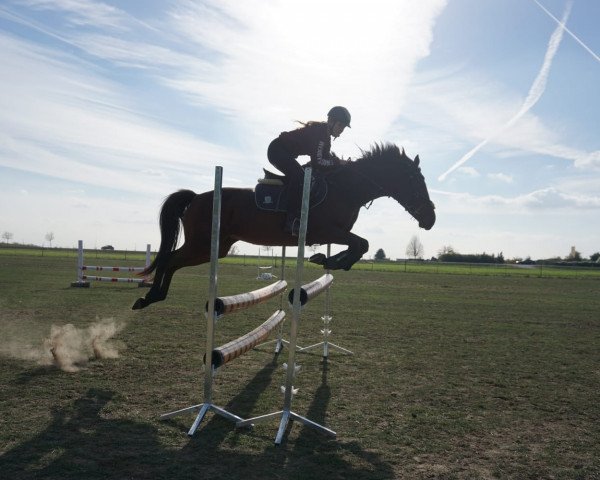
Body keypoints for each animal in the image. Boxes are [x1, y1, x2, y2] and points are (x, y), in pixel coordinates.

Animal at [131, 142, 434, 310]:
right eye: (415, 181)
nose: (430, 219)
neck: (346, 189)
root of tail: (195, 198)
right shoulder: (323, 231)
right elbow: (361, 243)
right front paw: (328, 260)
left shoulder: (335, 233)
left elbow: (360, 245)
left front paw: (328, 260)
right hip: (202, 244)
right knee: (169, 259)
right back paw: (149, 296)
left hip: (214, 248)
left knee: (171, 260)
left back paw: (153, 297)